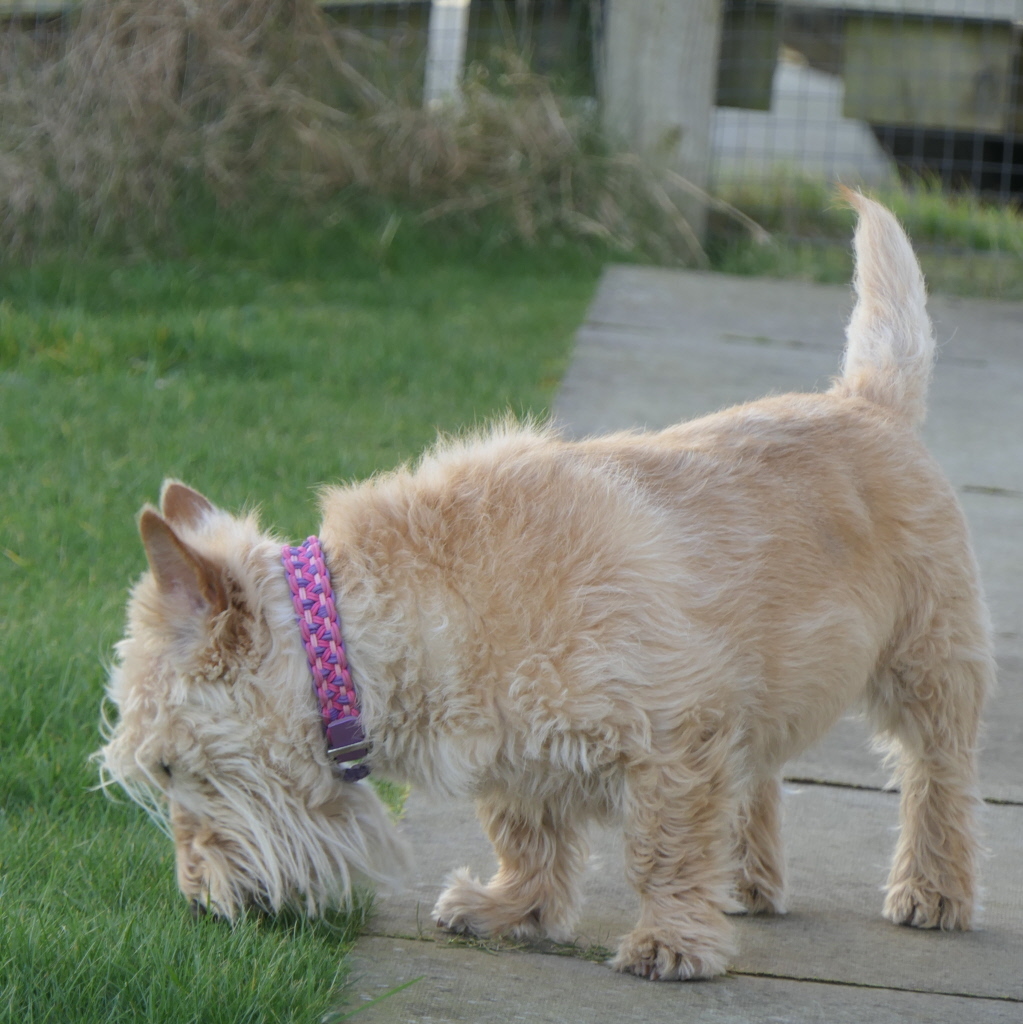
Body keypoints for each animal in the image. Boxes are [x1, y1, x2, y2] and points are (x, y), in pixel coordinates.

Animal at [96, 192, 991, 983]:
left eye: (170, 769)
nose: (195, 902)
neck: (371, 629)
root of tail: (868, 400)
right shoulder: (517, 757)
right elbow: (524, 835)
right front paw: (512, 909)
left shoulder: (674, 732)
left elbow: (662, 846)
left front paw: (670, 942)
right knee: (762, 775)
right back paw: (746, 881)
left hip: (926, 666)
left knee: (935, 777)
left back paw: (931, 890)